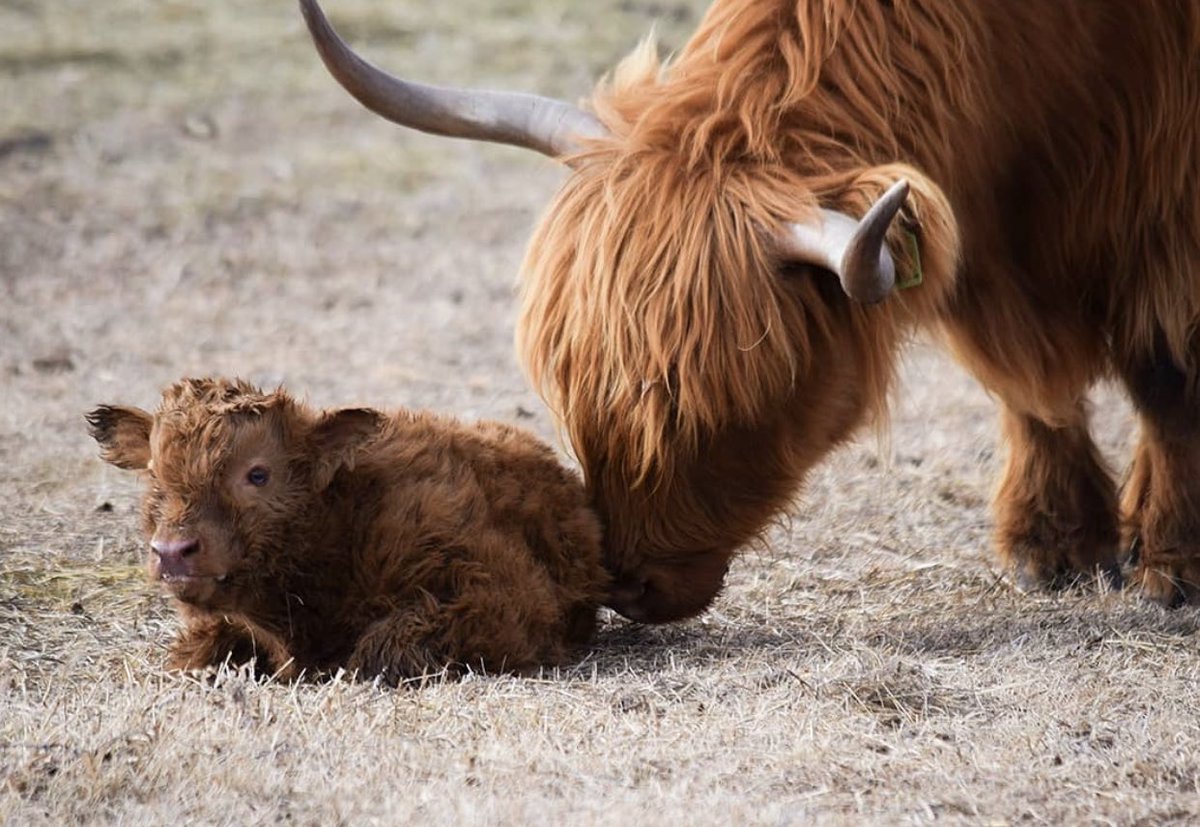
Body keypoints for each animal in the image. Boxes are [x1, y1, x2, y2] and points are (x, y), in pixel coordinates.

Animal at [87, 378, 607, 683]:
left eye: (258, 474)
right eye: (154, 472)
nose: (173, 551)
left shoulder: (501, 596)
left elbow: (383, 646)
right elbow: (196, 651)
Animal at [299, 0, 1200, 620]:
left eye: (714, 406)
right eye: (567, 390)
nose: (627, 585)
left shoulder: (1163, 205)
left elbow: (1164, 374)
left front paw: (1171, 566)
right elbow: (1025, 389)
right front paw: (1054, 548)